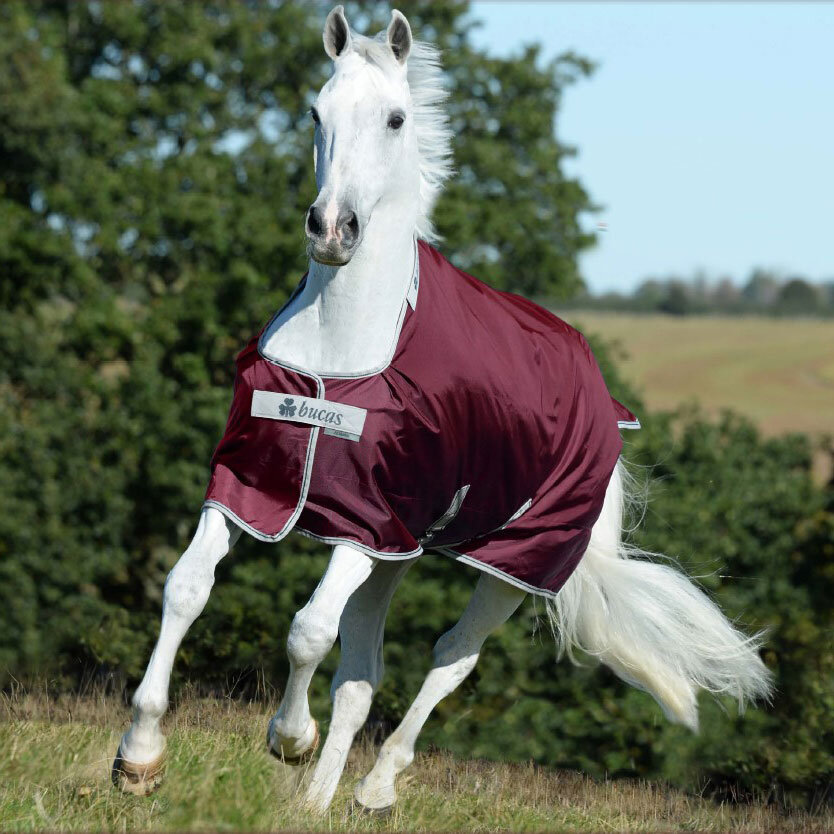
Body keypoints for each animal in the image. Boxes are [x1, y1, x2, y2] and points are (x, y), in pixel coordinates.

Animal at [112, 6, 772, 814]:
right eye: (316, 112)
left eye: (396, 119)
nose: (331, 230)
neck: (341, 351)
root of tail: (601, 397)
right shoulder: (254, 489)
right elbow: (186, 589)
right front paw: (140, 756)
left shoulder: (363, 526)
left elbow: (307, 630)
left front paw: (287, 738)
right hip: (401, 555)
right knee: (361, 675)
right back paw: (318, 802)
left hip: (511, 566)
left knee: (451, 659)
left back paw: (374, 787)